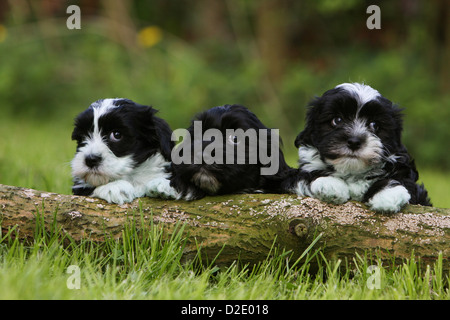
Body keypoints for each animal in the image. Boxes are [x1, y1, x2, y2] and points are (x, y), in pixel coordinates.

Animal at [286, 82, 430, 214]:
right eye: (337, 120)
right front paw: (329, 183)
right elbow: (305, 174)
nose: (354, 142)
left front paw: (387, 193)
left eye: (374, 125)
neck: (352, 172)